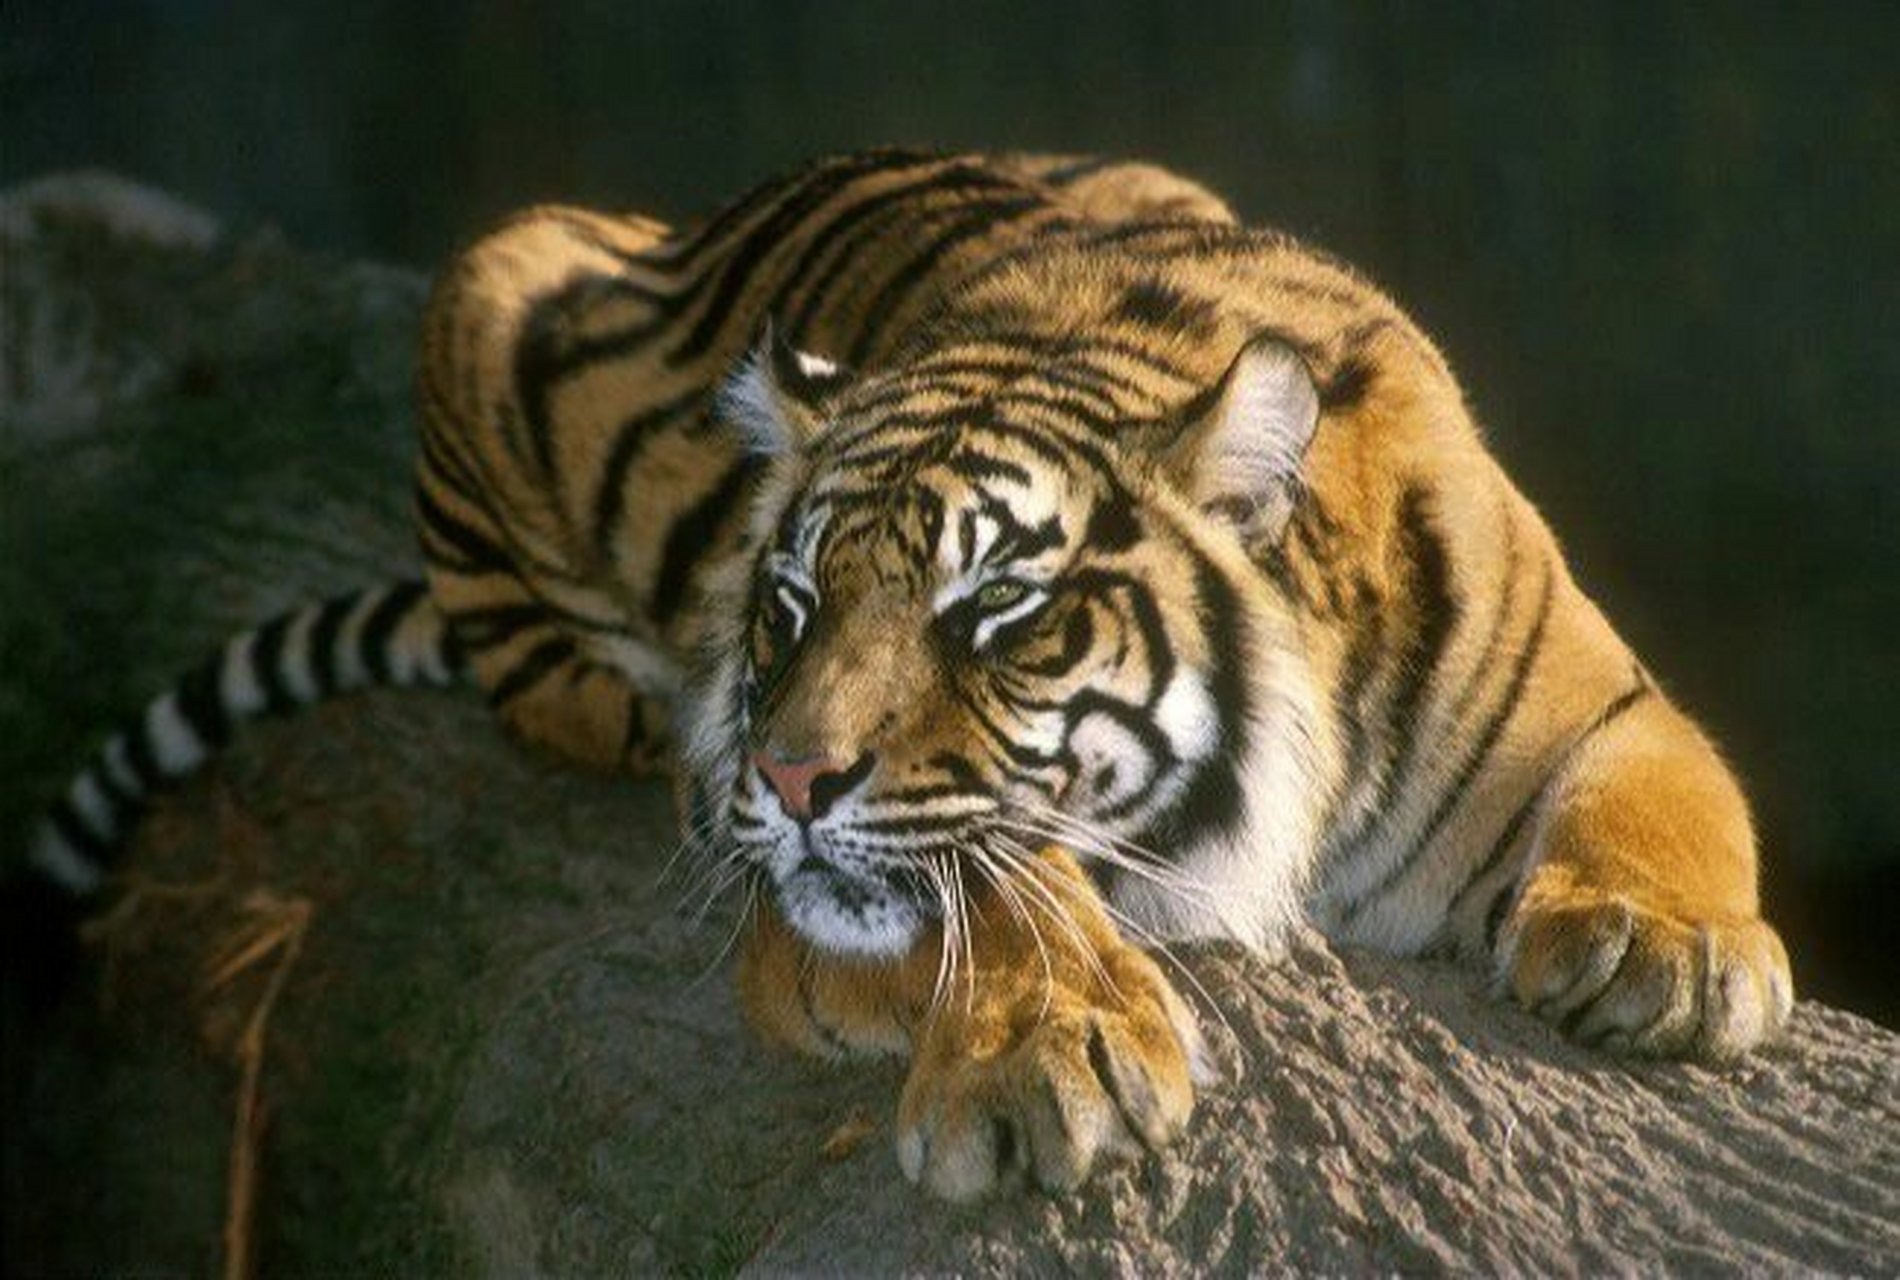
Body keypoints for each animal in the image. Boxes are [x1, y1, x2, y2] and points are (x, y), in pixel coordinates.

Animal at [25, 148, 1793, 1202]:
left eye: (997, 610)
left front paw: (1667, 949)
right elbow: (982, 891)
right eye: (790, 607)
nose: (784, 777)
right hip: (504, 271)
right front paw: (1042, 1059)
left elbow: (1670, 790)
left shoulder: (1595, 692)